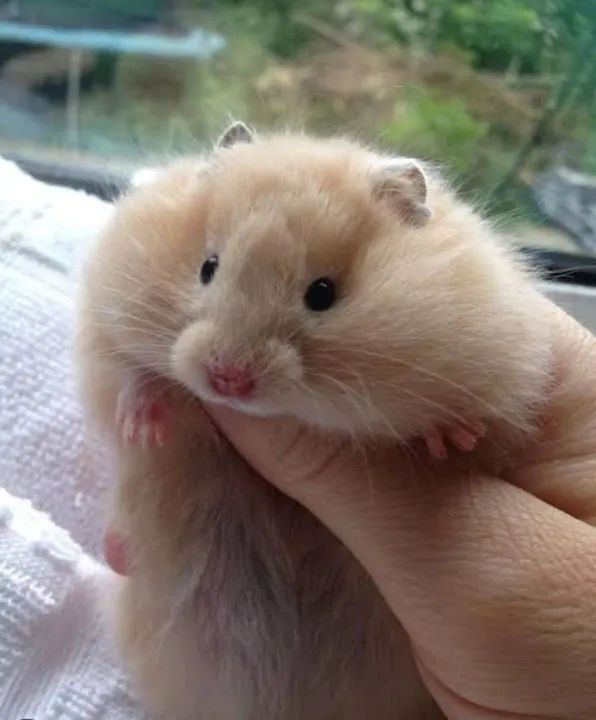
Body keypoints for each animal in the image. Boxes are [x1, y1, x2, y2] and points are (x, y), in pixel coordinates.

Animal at [76, 122, 551, 720]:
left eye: (322, 293)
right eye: (207, 267)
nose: (228, 379)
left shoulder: (504, 369)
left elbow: (479, 422)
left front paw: (450, 440)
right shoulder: (103, 318)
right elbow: (126, 370)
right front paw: (145, 424)